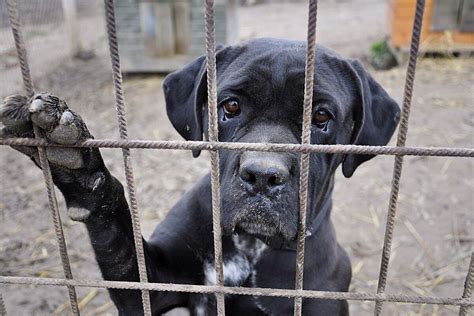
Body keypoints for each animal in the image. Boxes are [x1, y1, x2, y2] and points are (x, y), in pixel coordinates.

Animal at [0, 38, 400, 314]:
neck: (250, 247)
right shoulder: (152, 281)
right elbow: (116, 237)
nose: (262, 175)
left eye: (321, 118)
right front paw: (74, 162)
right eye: (231, 106)